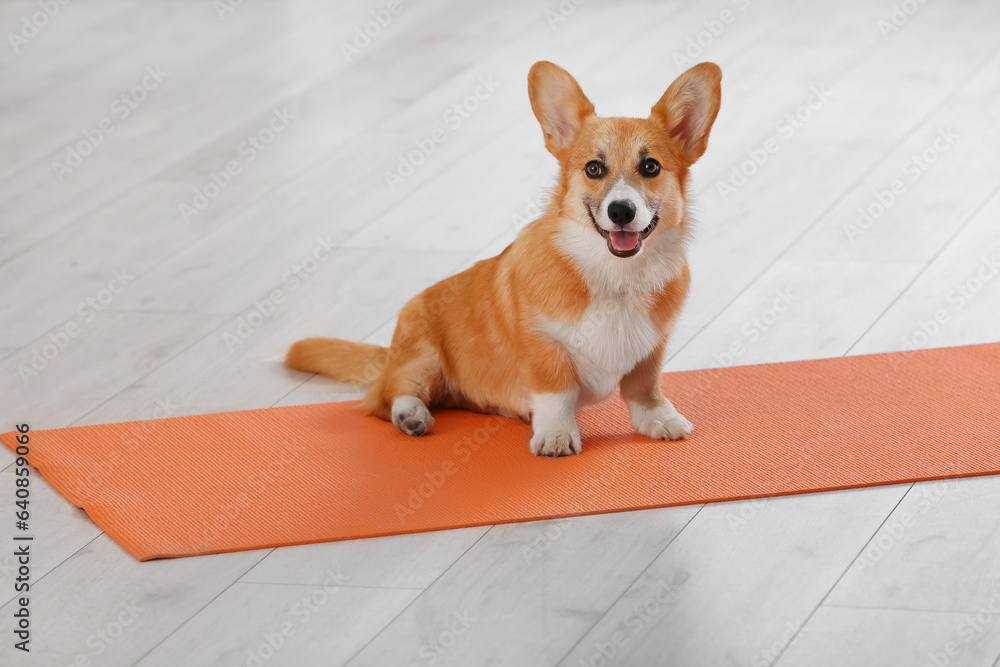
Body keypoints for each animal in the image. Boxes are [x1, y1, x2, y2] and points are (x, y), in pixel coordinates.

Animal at [286, 61, 724, 460]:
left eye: (650, 167)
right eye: (593, 168)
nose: (620, 211)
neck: (613, 274)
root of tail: (391, 352)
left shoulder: (652, 348)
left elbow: (644, 387)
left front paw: (658, 418)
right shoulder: (542, 347)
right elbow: (555, 392)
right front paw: (556, 435)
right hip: (423, 359)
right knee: (388, 395)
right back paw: (411, 415)